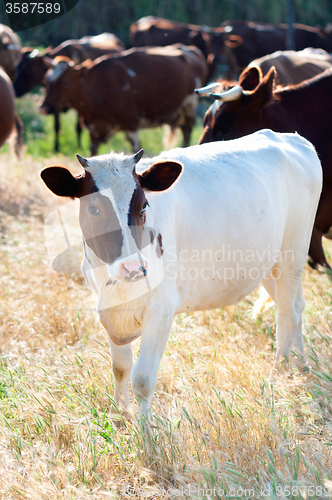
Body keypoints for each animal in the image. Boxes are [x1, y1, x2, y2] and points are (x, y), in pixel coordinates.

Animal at [39, 129, 322, 414]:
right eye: (94, 208)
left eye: (143, 206)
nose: (132, 267)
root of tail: (290, 138)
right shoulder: (111, 309)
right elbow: (120, 368)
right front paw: (122, 415)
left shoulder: (161, 309)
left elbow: (142, 379)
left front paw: (144, 427)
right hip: (267, 263)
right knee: (296, 306)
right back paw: (300, 365)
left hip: (293, 253)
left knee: (286, 313)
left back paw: (279, 375)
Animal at [40, 46, 209, 156]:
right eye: (46, 80)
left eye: (65, 82)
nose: (43, 107)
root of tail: (192, 52)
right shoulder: (94, 131)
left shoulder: (131, 125)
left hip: (189, 105)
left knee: (187, 130)